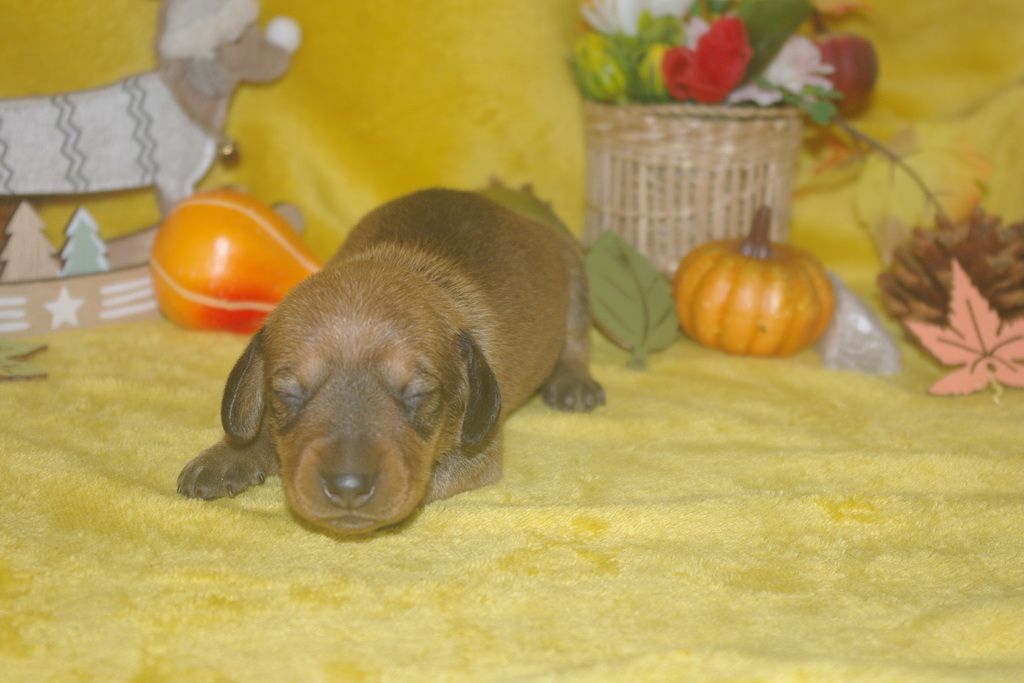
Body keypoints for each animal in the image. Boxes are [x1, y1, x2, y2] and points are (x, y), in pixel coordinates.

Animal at [179, 189, 602, 536]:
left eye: (418, 396)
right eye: (287, 395)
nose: (348, 488)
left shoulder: (479, 455)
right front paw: (230, 456)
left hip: (575, 275)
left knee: (576, 339)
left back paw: (572, 382)